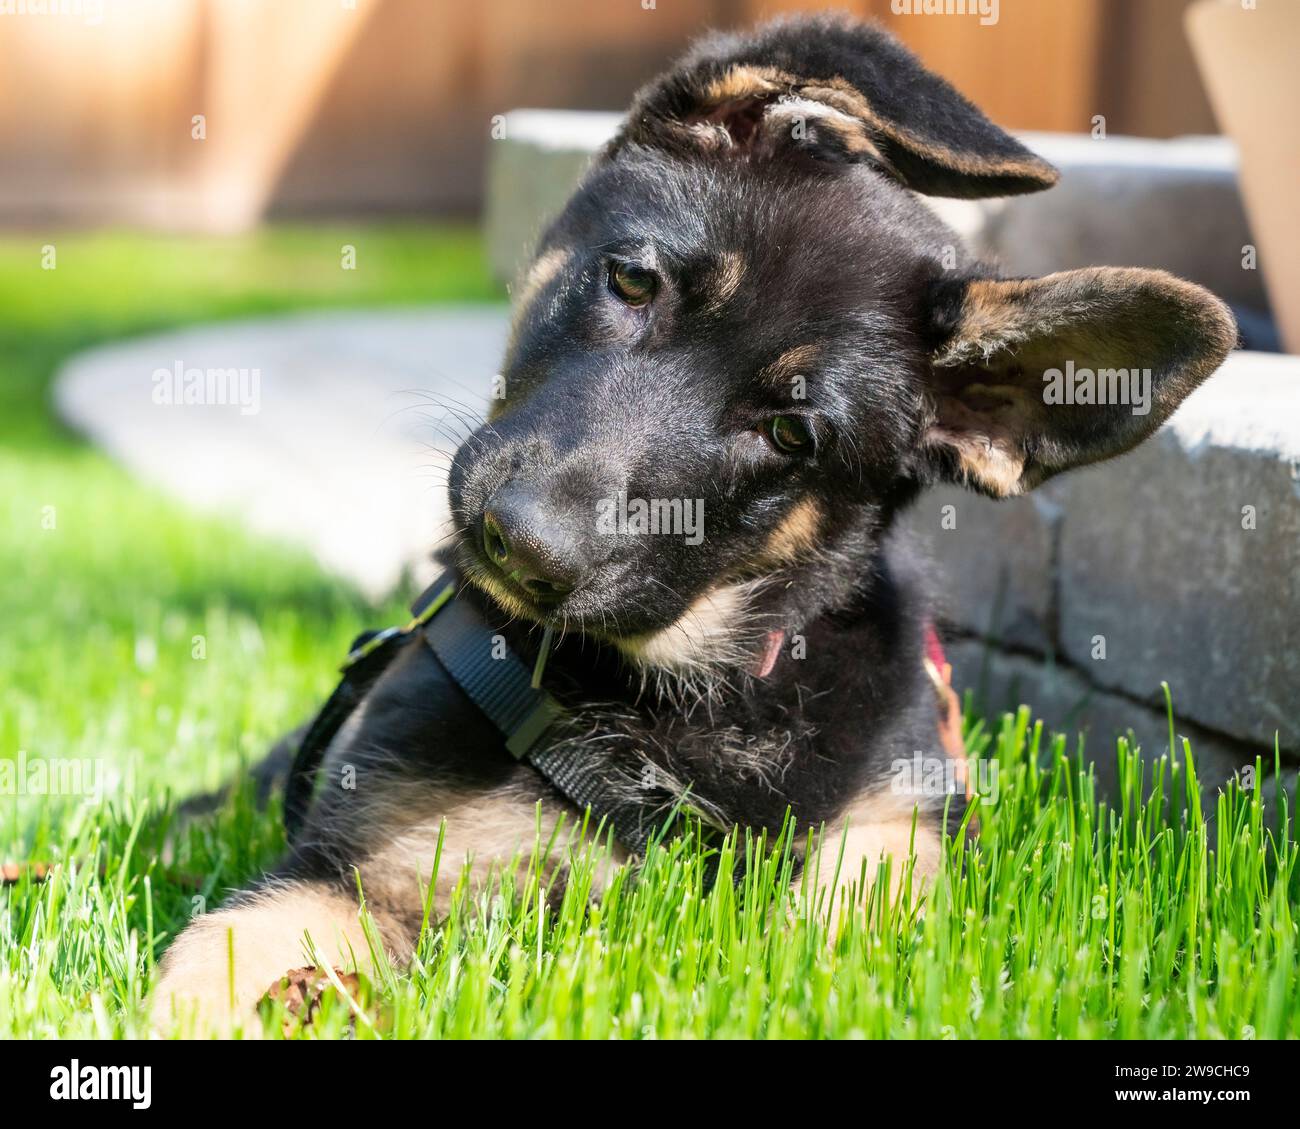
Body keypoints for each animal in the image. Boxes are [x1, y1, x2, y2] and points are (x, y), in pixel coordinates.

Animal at [147, 13, 1232, 1030]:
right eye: (633, 280)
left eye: (791, 431)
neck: (680, 691)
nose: (520, 544)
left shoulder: (886, 849)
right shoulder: (362, 867)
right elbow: (221, 955)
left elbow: (840, 946)